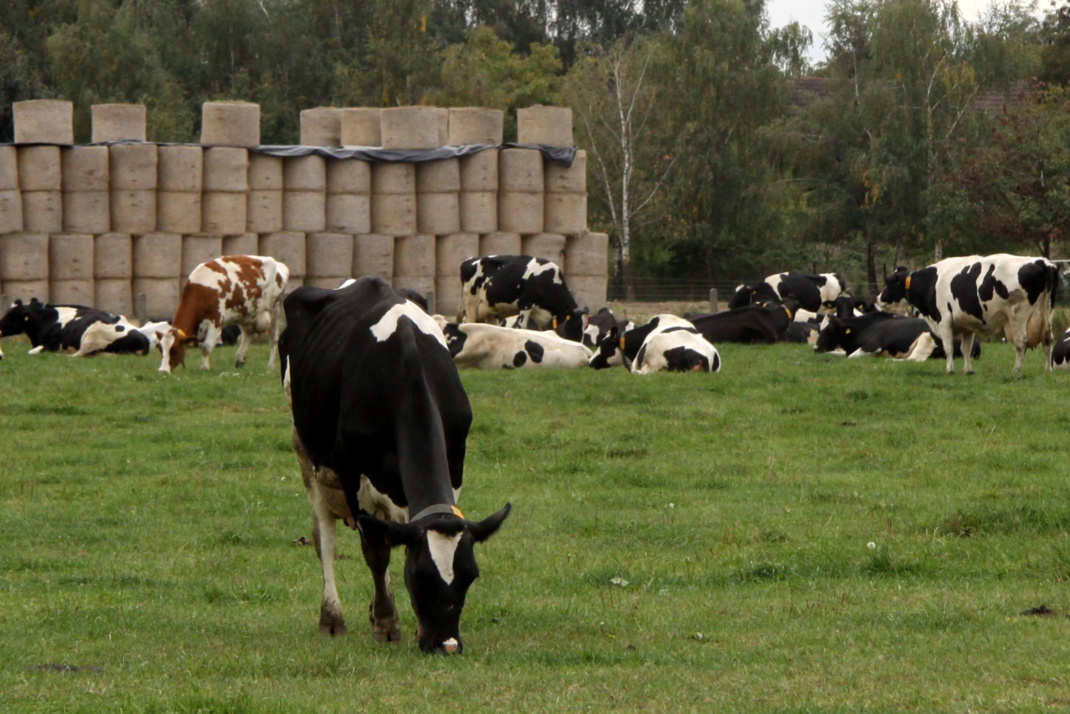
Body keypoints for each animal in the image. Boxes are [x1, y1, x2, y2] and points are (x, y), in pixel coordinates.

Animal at [0, 298, 151, 356]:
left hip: (91, 337)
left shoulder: (54, 345)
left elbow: (31, 352)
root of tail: (143, 339)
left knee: (77, 355)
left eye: (10, 315)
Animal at [157, 255, 289, 374]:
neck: (202, 290)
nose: (162, 371)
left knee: (273, 338)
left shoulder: (215, 321)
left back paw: (270, 366)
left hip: (275, 309)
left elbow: (206, 347)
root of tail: (278, 263)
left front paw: (204, 368)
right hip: (246, 314)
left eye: (174, 350)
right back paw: (239, 359)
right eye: (161, 350)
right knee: (247, 334)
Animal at [280, 277, 510, 654]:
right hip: (306, 453)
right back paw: (332, 619)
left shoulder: (454, 466)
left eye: (470, 575)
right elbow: (375, 551)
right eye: (421, 576)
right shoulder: (352, 476)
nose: (447, 645)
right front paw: (388, 625)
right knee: (324, 538)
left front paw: (406, 624)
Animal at [457, 255, 587, 341]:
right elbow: (522, 327)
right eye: (575, 326)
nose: (579, 344)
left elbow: (545, 332)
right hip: (471, 302)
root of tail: (469, 260)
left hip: (489, 308)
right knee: (469, 322)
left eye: (584, 327)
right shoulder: (525, 304)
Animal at [875, 254, 1058, 373]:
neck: (932, 282)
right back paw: (1047, 369)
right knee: (1048, 340)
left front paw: (950, 369)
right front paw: (968, 370)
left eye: (889, 282)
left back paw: (1017, 370)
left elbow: (948, 347)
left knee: (1021, 342)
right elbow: (966, 349)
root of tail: (1041, 261)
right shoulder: (968, 325)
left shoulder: (944, 321)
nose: (878, 298)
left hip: (1017, 316)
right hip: (1047, 314)